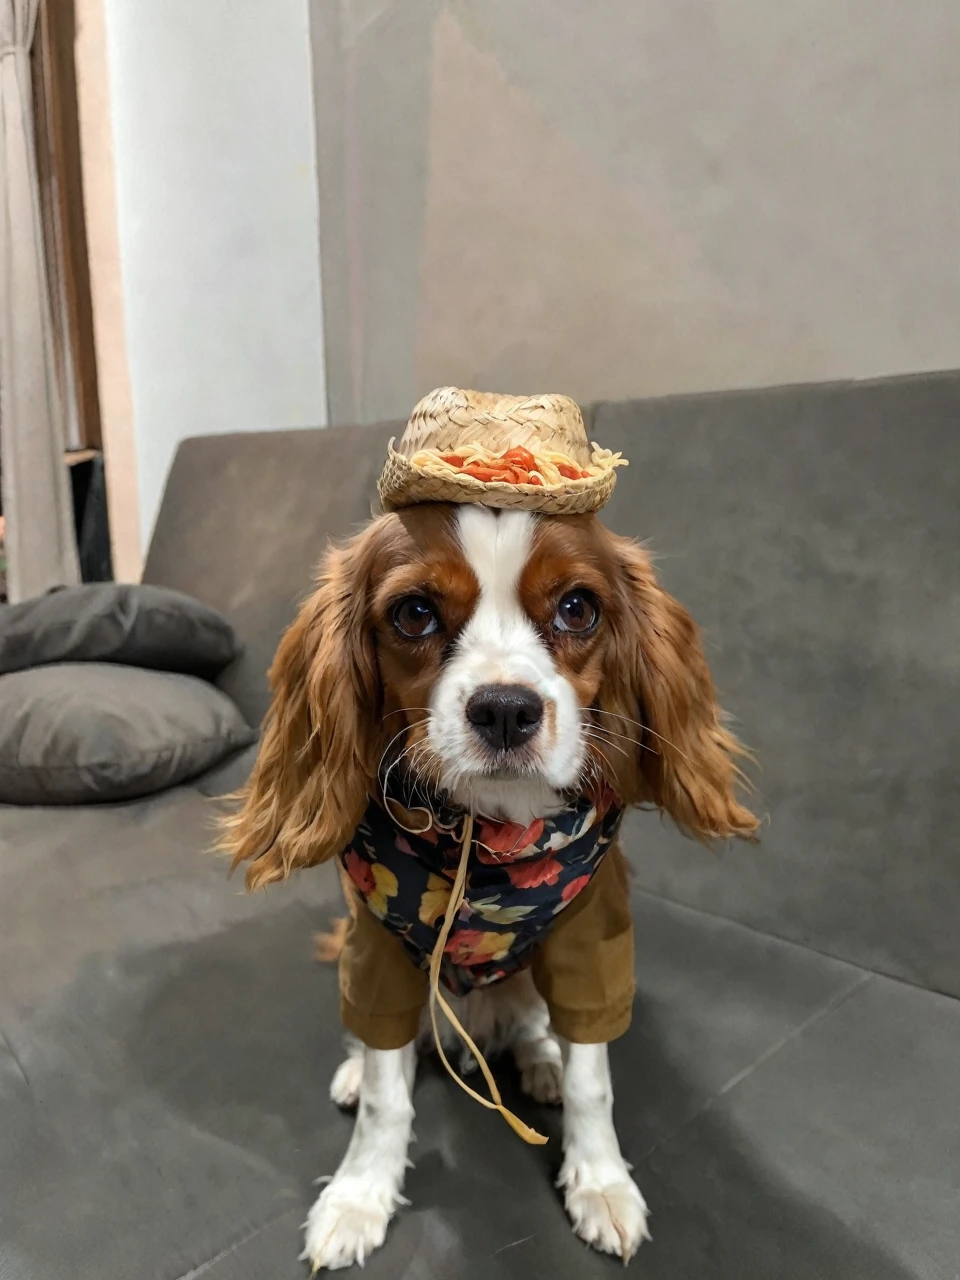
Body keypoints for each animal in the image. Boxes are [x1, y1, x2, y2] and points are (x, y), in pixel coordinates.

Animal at [220, 501, 757, 1269]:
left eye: (577, 609)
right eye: (414, 613)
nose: (506, 707)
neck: (486, 841)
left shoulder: (590, 939)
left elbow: (594, 1078)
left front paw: (600, 1182)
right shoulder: (378, 951)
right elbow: (387, 1091)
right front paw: (359, 1195)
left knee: (532, 1022)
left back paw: (541, 1060)